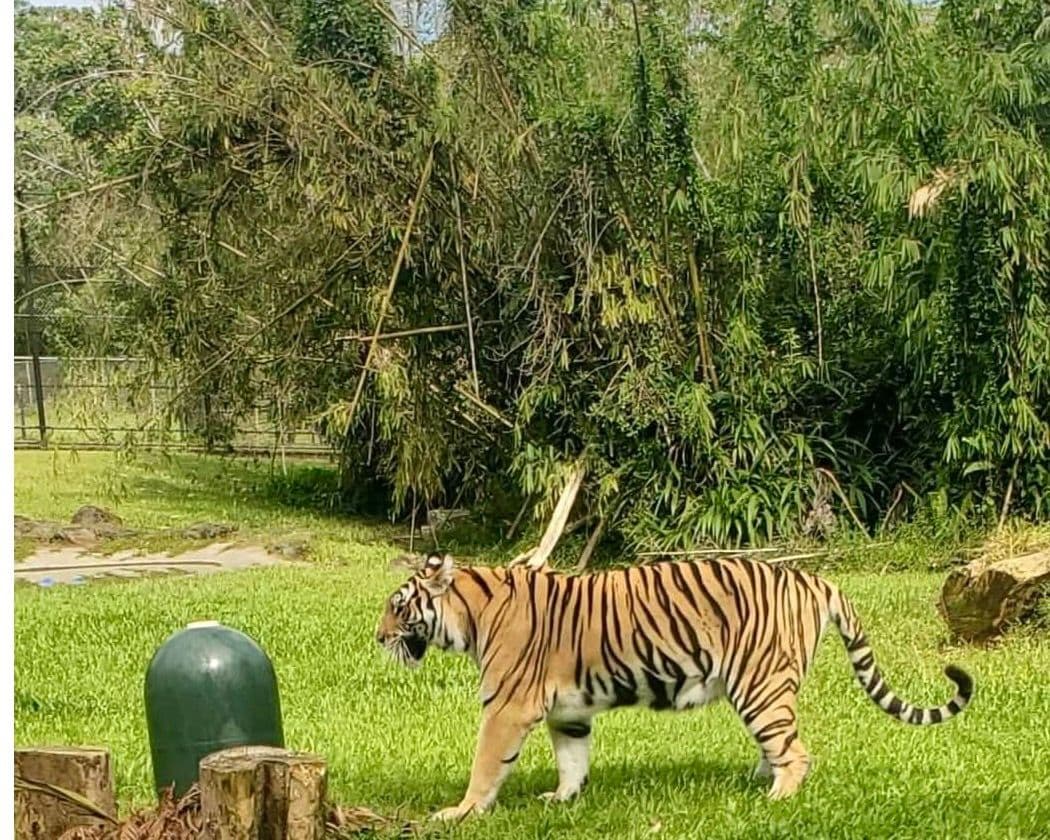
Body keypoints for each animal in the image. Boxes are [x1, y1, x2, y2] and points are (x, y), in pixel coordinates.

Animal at [375, 552, 973, 821]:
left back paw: (775, 800)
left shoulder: (506, 708)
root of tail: (813, 578)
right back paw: (755, 783)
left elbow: (484, 765)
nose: (377, 637)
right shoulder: (568, 710)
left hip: (759, 683)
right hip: (762, 688)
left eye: (398, 608)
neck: (472, 617)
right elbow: (572, 757)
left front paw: (459, 813)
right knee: (779, 743)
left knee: (796, 750)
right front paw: (563, 799)